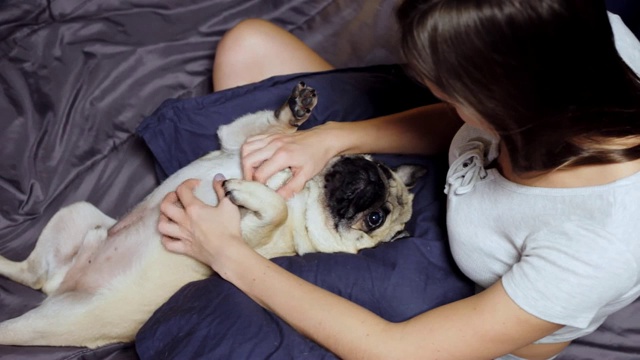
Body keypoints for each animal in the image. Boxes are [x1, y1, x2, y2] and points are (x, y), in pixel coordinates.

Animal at [0, 82, 424, 348]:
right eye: (375, 164)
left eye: (376, 219)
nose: (371, 178)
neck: (308, 191)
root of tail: (61, 285)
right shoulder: (240, 139)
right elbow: (273, 129)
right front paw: (297, 111)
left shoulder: (248, 239)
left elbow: (274, 209)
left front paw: (247, 192)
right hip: (75, 213)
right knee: (28, 272)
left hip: (49, 315)